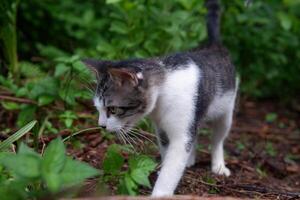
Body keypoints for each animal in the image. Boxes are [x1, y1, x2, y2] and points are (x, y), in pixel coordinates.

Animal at [83, 0, 238, 197]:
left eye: (113, 109)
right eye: (98, 109)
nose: (101, 125)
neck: (164, 95)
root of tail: (213, 45)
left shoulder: (181, 132)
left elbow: (172, 167)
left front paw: (161, 191)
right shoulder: (162, 129)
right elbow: (168, 153)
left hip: (226, 111)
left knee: (218, 138)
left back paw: (218, 165)